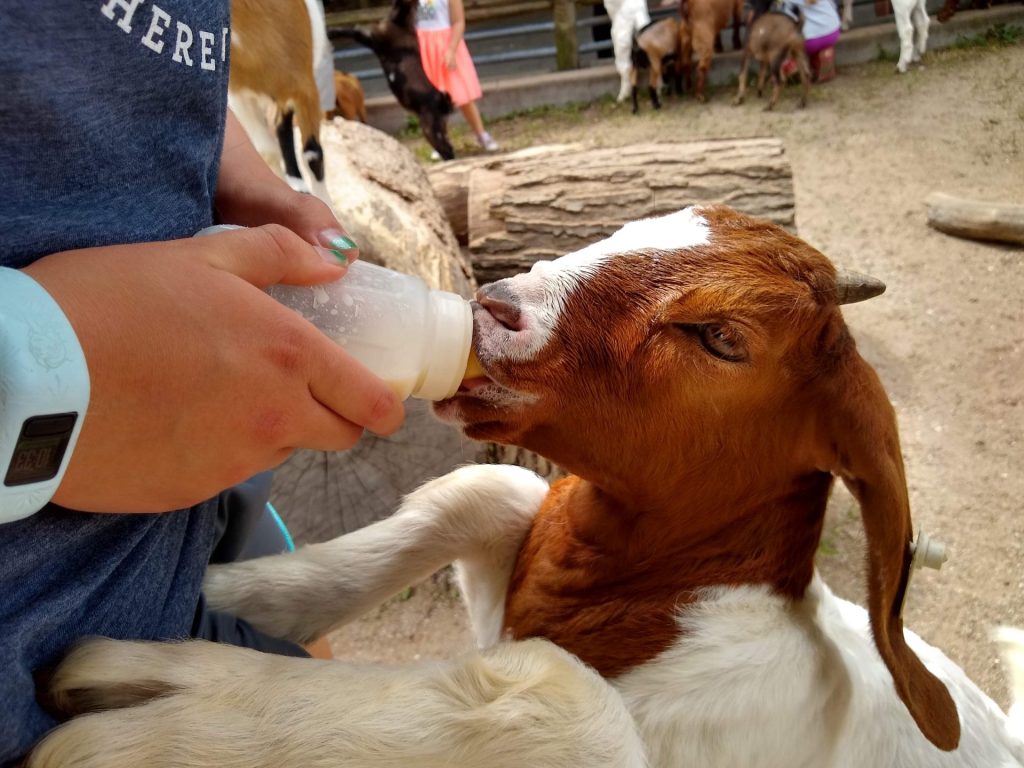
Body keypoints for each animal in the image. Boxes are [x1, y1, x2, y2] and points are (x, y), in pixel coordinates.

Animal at [29, 207, 1024, 768]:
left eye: (721, 337)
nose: (492, 313)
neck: (666, 610)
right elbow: (481, 493)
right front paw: (239, 594)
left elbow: (570, 702)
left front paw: (174, 711)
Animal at [331, 0, 455, 161]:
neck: (400, 20)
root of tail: (442, 101)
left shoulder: (372, 39)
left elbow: (352, 29)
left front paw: (331, 32)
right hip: (440, 125)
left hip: (430, 127)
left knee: (447, 149)